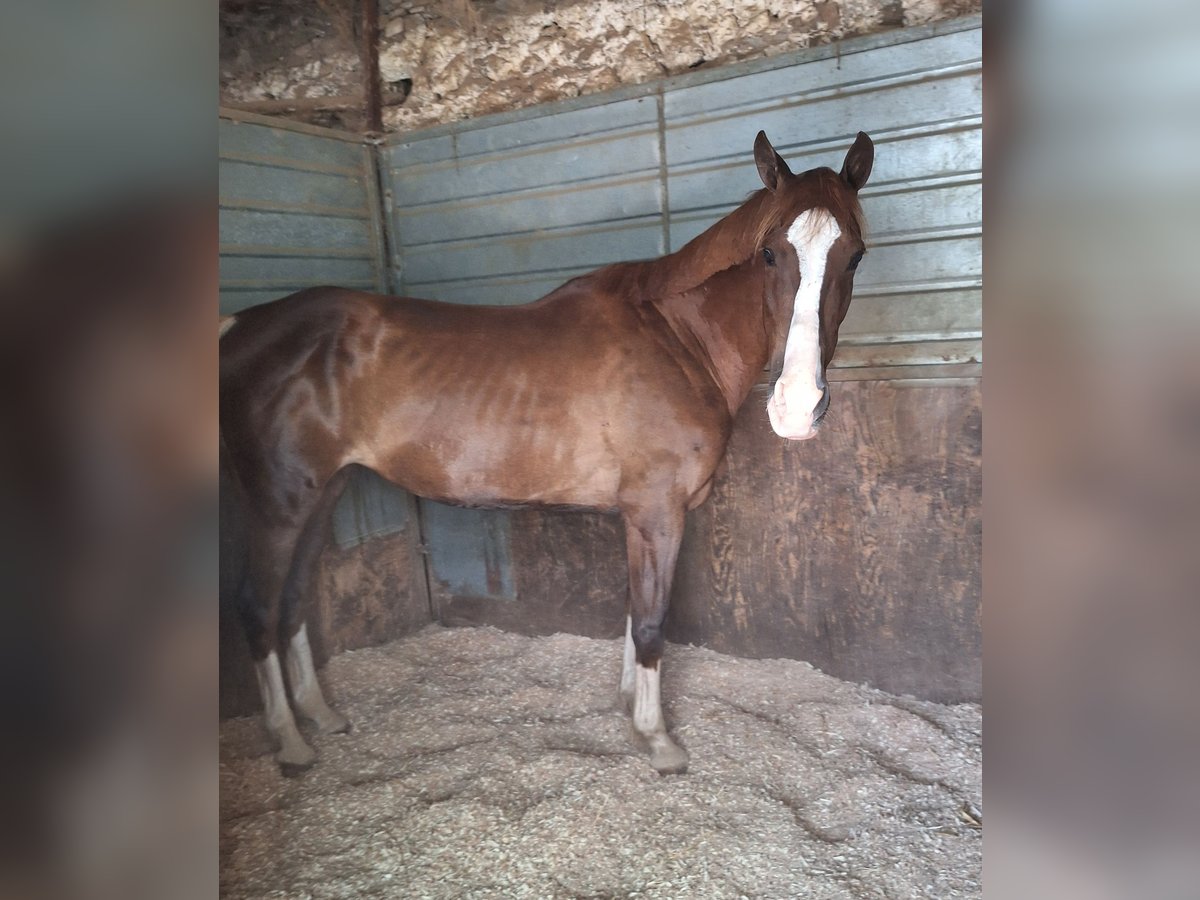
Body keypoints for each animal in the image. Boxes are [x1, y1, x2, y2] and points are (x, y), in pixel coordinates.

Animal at [218, 128, 873, 777]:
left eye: (855, 255)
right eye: (770, 254)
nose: (797, 407)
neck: (676, 339)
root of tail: (239, 327)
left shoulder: (638, 517)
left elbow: (634, 611)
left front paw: (629, 707)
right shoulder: (659, 513)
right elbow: (652, 621)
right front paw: (657, 739)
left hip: (323, 495)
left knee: (294, 600)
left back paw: (320, 716)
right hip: (280, 506)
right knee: (257, 605)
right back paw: (290, 741)